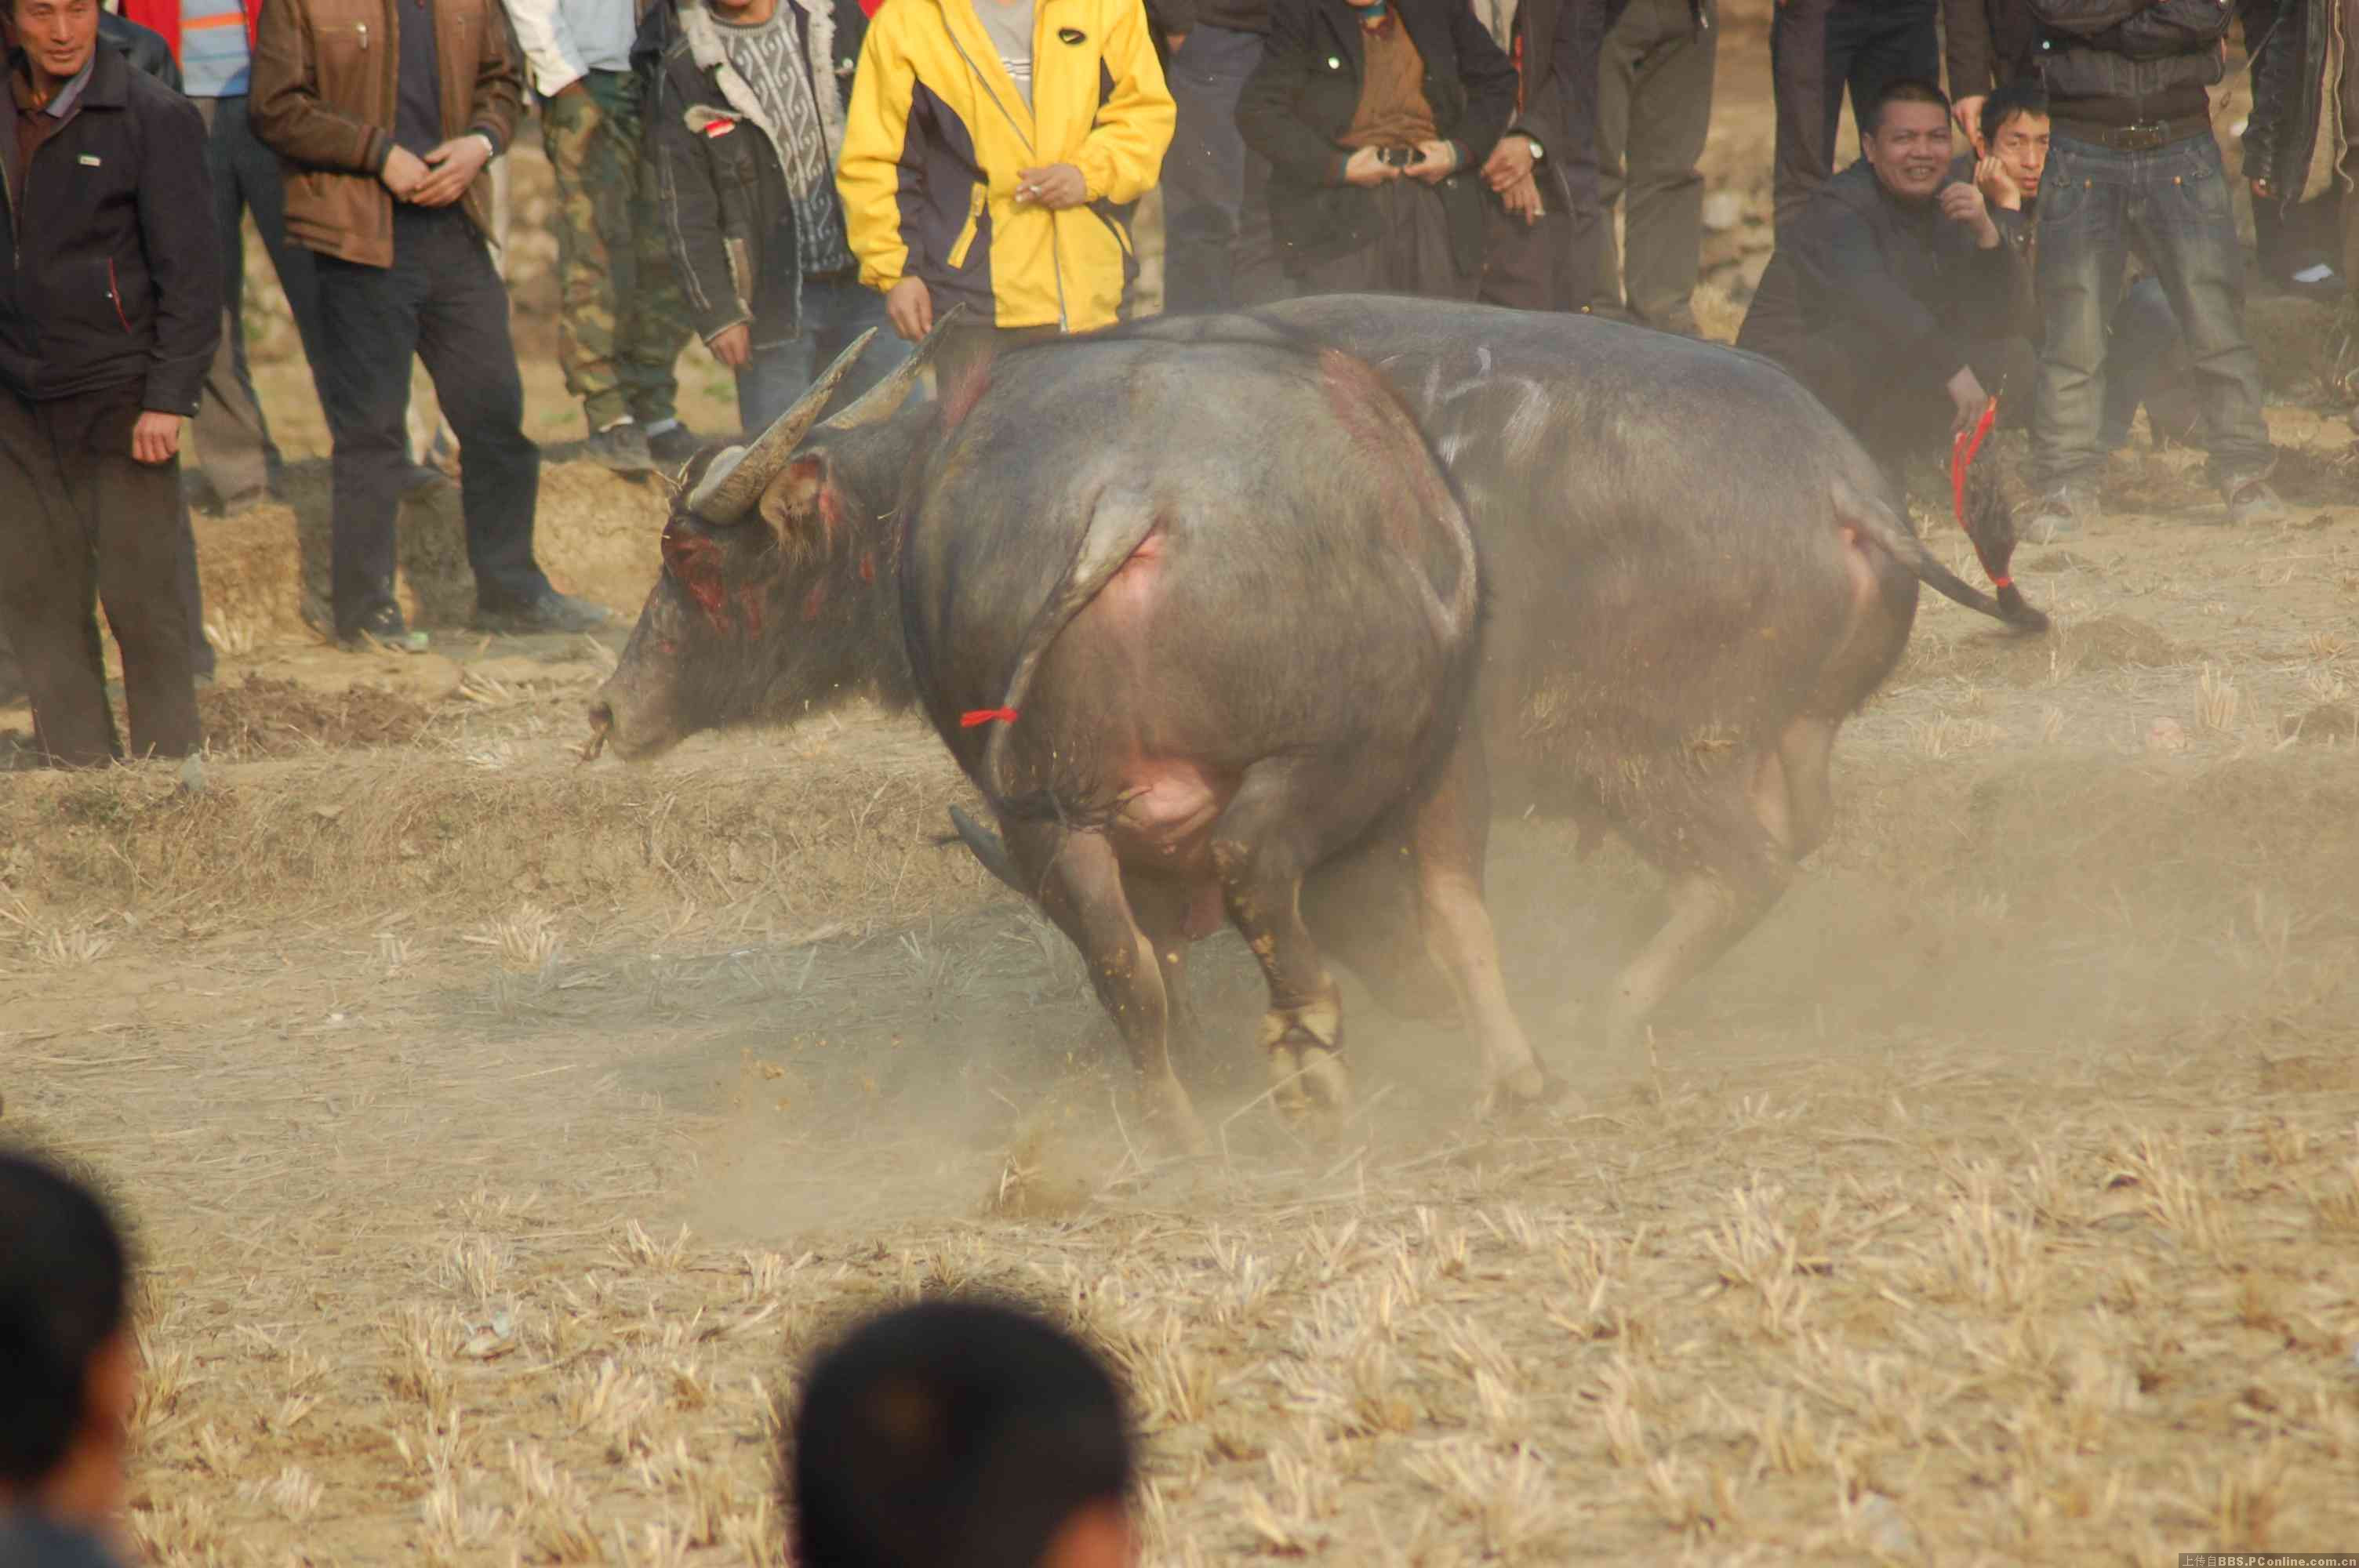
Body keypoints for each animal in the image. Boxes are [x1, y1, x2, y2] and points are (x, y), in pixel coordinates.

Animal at [584, 321, 1547, 1150]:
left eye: (687, 561)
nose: (609, 709)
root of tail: (1126, 493)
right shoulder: (1452, 744)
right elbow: (1459, 912)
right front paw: (1516, 1076)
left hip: (1054, 816)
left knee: (1125, 963)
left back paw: (1184, 1131)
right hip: (1355, 748)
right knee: (1252, 865)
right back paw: (1313, 1070)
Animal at [948, 293, 2037, 1075]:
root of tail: (1841, 484)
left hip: (1638, 751)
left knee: (1742, 871)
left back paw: (1601, 1010)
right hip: (1787, 732)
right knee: (1792, 830)